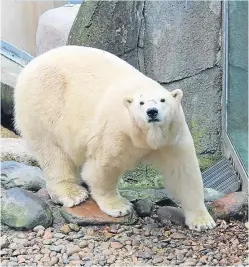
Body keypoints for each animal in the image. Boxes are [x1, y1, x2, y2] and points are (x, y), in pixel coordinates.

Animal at [14, 45, 216, 231]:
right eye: (141, 103)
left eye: (163, 100)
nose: (152, 112)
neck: (147, 136)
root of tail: (30, 64)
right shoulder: (115, 131)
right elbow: (103, 167)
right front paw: (119, 206)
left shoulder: (173, 136)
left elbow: (184, 172)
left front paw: (202, 221)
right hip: (45, 104)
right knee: (53, 152)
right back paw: (73, 193)